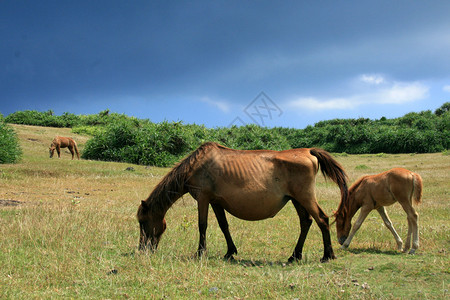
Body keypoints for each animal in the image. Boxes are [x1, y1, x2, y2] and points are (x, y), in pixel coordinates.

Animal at [134, 143, 348, 262]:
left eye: (142, 222)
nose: (142, 249)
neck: (196, 165)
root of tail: (309, 151)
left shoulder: (203, 199)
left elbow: (202, 225)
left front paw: (200, 252)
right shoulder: (216, 202)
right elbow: (223, 226)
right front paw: (230, 252)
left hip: (305, 197)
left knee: (322, 219)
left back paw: (327, 255)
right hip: (296, 200)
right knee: (306, 223)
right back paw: (295, 255)